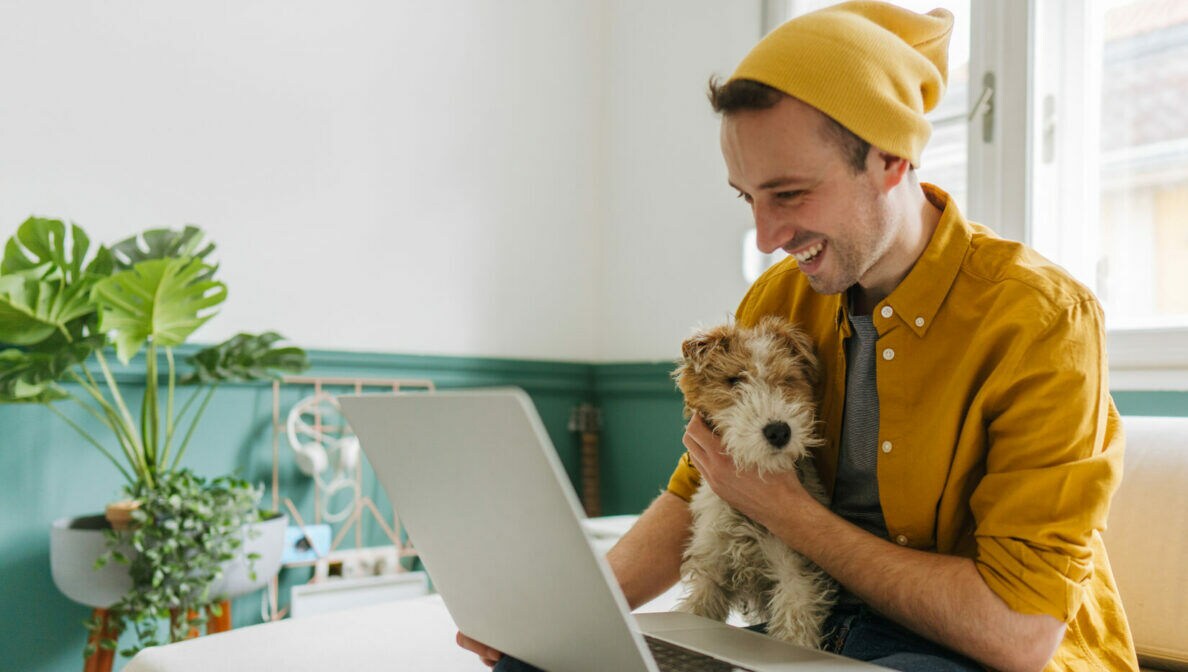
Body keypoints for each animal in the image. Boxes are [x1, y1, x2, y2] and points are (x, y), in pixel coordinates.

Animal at [670, 318, 836, 650]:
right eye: (734, 379)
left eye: (788, 379)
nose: (779, 431)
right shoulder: (711, 572)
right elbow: (697, 609)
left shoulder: (793, 572)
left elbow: (795, 627)